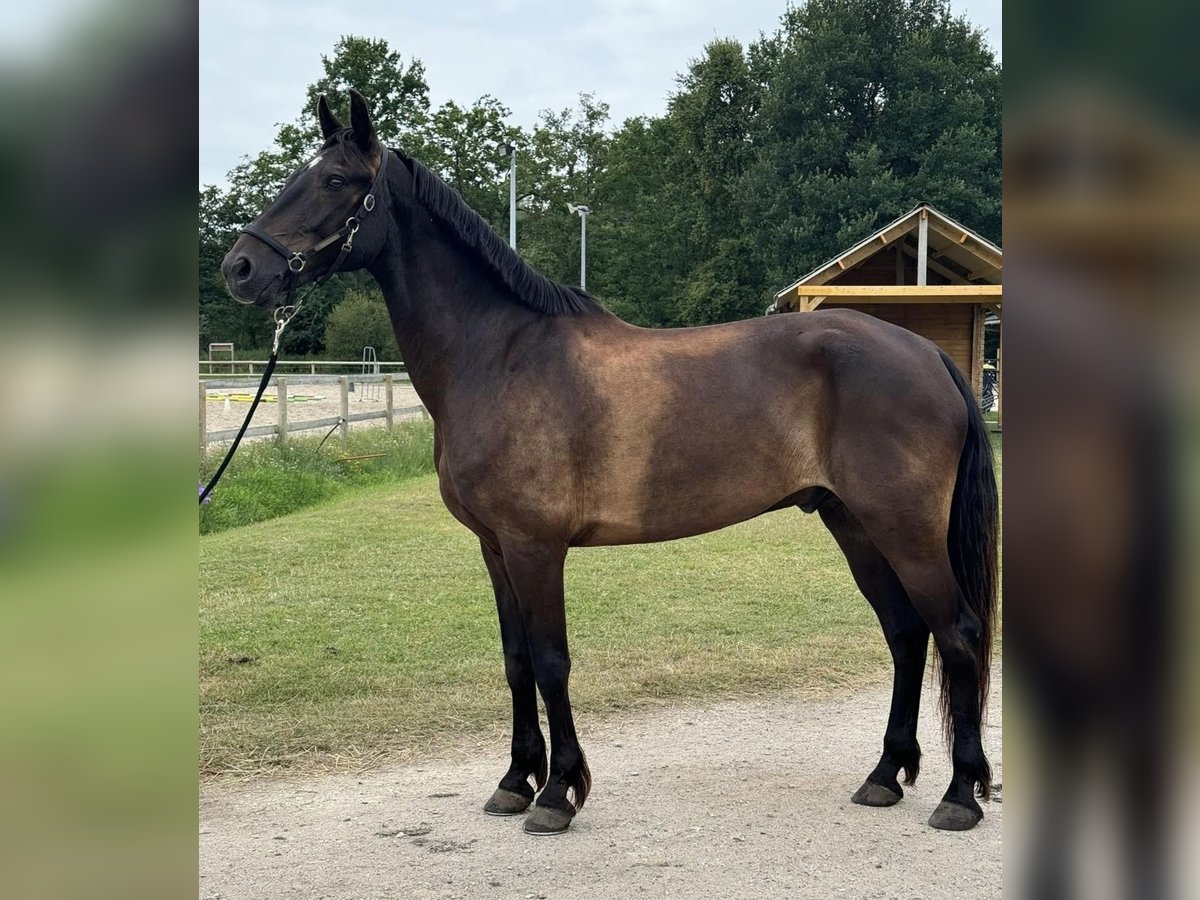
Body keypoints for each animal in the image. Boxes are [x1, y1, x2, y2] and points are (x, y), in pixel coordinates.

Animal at [220, 91, 998, 840]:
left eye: (335, 180)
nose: (241, 269)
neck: (499, 356)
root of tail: (925, 352)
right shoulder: (495, 548)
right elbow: (516, 661)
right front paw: (514, 782)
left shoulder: (535, 547)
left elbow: (552, 661)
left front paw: (557, 794)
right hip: (854, 525)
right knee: (906, 635)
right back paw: (885, 776)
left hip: (902, 529)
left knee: (956, 634)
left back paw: (960, 795)